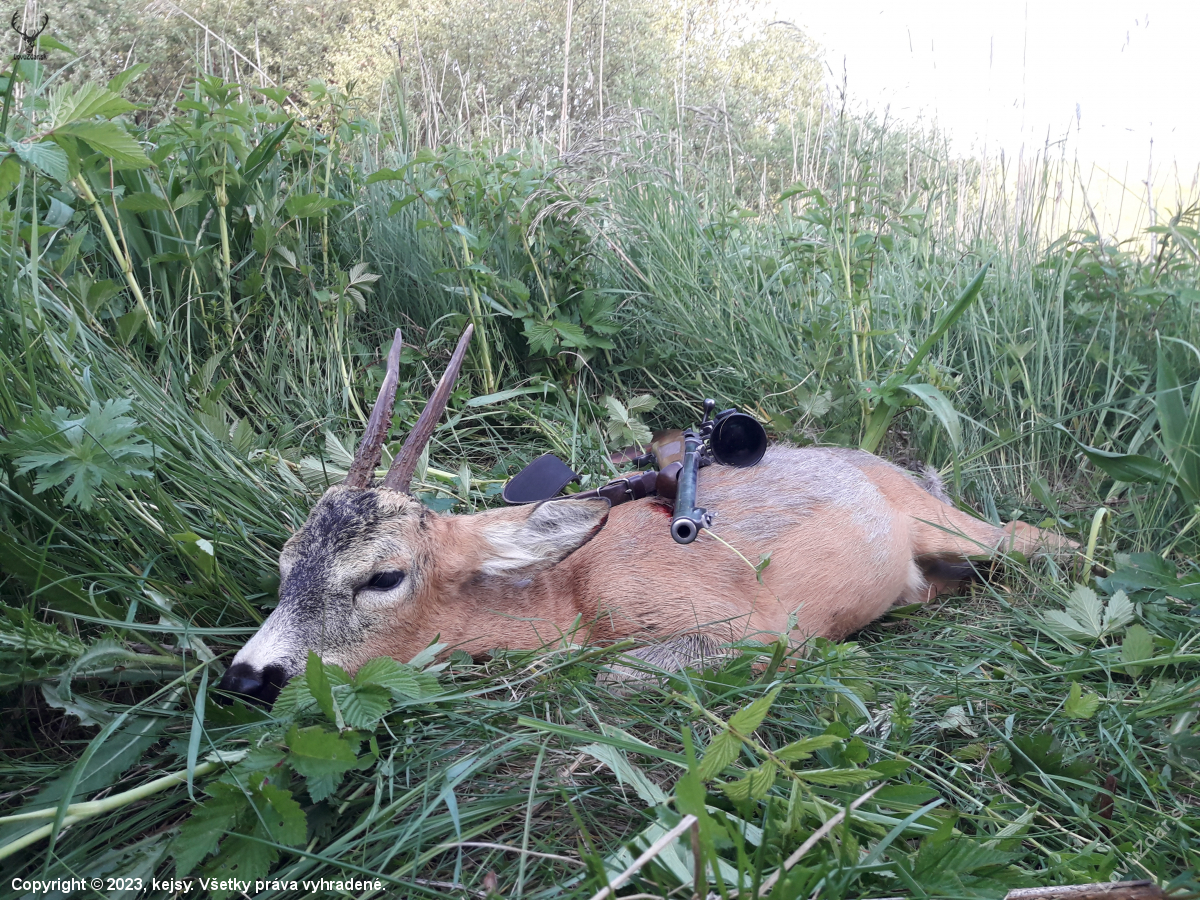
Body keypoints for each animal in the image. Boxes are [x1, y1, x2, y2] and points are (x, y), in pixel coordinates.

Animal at [218, 326, 1080, 705]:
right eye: (287, 563)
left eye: (383, 575)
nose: (248, 677)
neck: (571, 594)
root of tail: (896, 470)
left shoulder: (759, 630)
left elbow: (591, 672)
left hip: (952, 523)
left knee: (1036, 536)